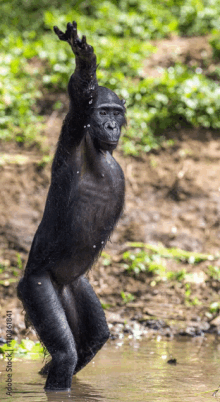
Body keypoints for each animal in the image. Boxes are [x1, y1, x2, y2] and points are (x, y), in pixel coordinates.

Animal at [17, 21, 125, 390]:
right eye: (103, 112)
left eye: (117, 113)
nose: (112, 125)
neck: (99, 150)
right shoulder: (74, 129)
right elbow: (79, 92)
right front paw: (84, 60)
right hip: (36, 287)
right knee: (66, 353)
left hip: (75, 287)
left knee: (93, 340)